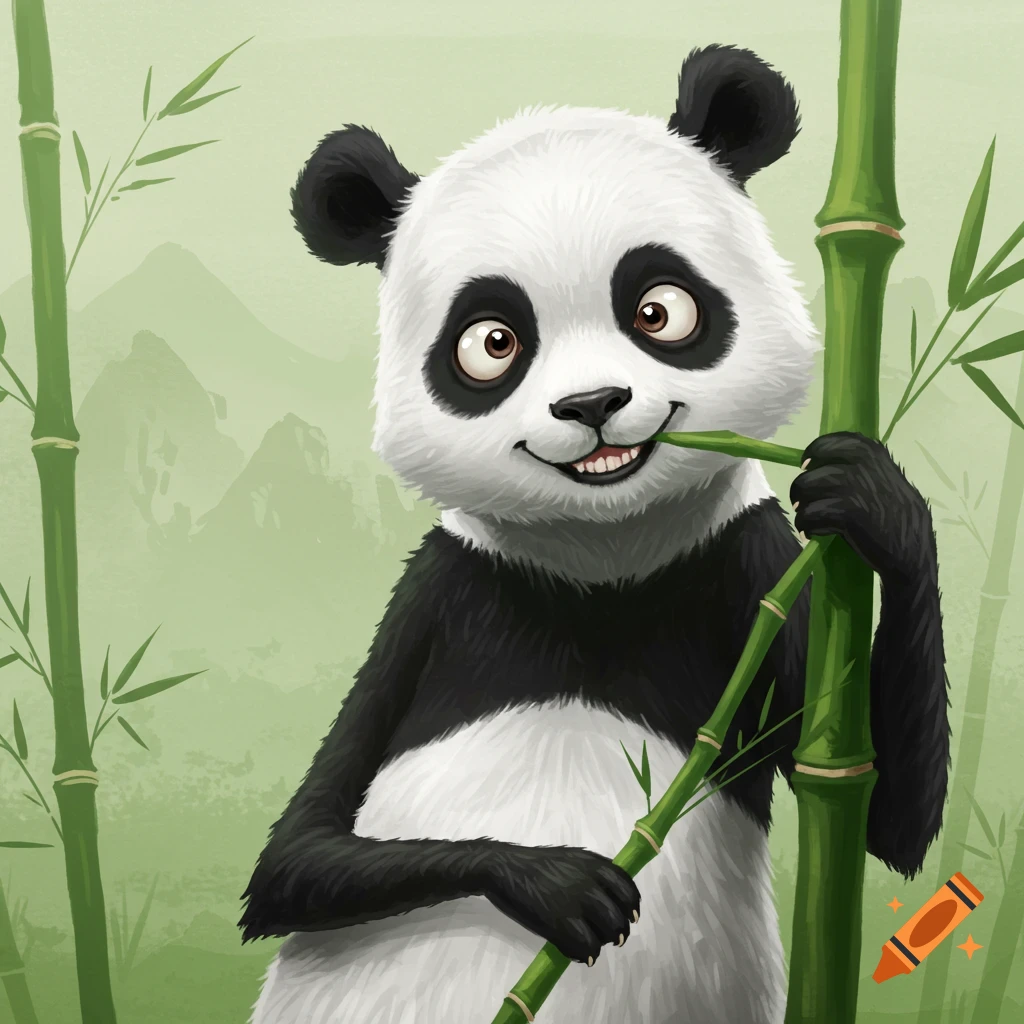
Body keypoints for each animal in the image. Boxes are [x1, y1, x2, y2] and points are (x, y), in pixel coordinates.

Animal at [240, 44, 949, 1024]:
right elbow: (295, 855)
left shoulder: (752, 567)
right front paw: (559, 884)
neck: (606, 559)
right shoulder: (439, 593)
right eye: (492, 343)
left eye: (659, 310)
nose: (591, 405)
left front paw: (875, 501)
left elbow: (885, 811)